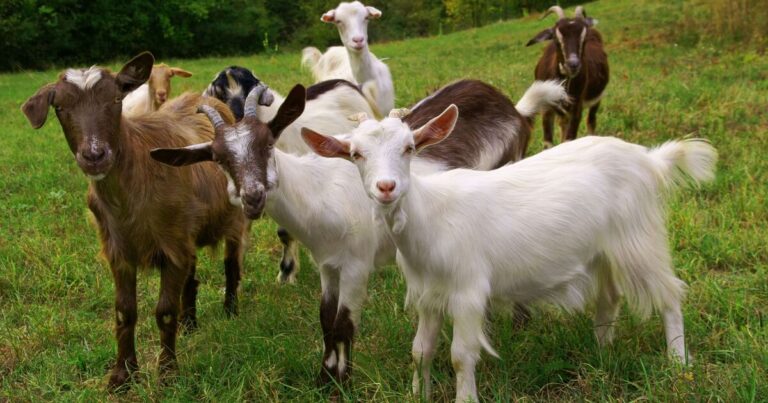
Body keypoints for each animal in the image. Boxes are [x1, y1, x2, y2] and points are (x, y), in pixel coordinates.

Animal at [21, 52, 247, 391]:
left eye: (116, 99)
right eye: (59, 107)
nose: (95, 156)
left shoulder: (172, 246)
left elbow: (164, 311)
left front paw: (167, 373)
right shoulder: (120, 249)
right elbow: (124, 312)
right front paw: (122, 375)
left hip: (233, 218)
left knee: (231, 264)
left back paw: (231, 311)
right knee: (191, 277)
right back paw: (190, 323)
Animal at [151, 79, 567, 386]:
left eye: (268, 142)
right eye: (218, 158)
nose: (252, 196)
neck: (319, 193)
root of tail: (514, 108)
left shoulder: (356, 264)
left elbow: (343, 322)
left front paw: (341, 381)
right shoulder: (328, 264)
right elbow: (325, 318)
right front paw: (324, 379)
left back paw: (519, 324)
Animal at [304, 105, 716, 402]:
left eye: (409, 148)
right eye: (355, 154)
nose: (386, 187)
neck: (430, 218)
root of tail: (649, 159)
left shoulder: (468, 291)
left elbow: (460, 355)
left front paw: (466, 399)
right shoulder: (428, 294)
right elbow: (421, 350)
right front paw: (417, 394)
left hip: (638, 237)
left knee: (669, 294)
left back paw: (678, 363)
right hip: (603, 250)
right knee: (610, 296)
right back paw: (602, 351)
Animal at [527, 5, 609, 148]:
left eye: (584, 39)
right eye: (556, 38)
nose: (573, 64)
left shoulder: (576, 108)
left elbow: (569, 139)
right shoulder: (547, 109)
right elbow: (548, 143)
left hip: (597, 99)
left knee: (591, 121)